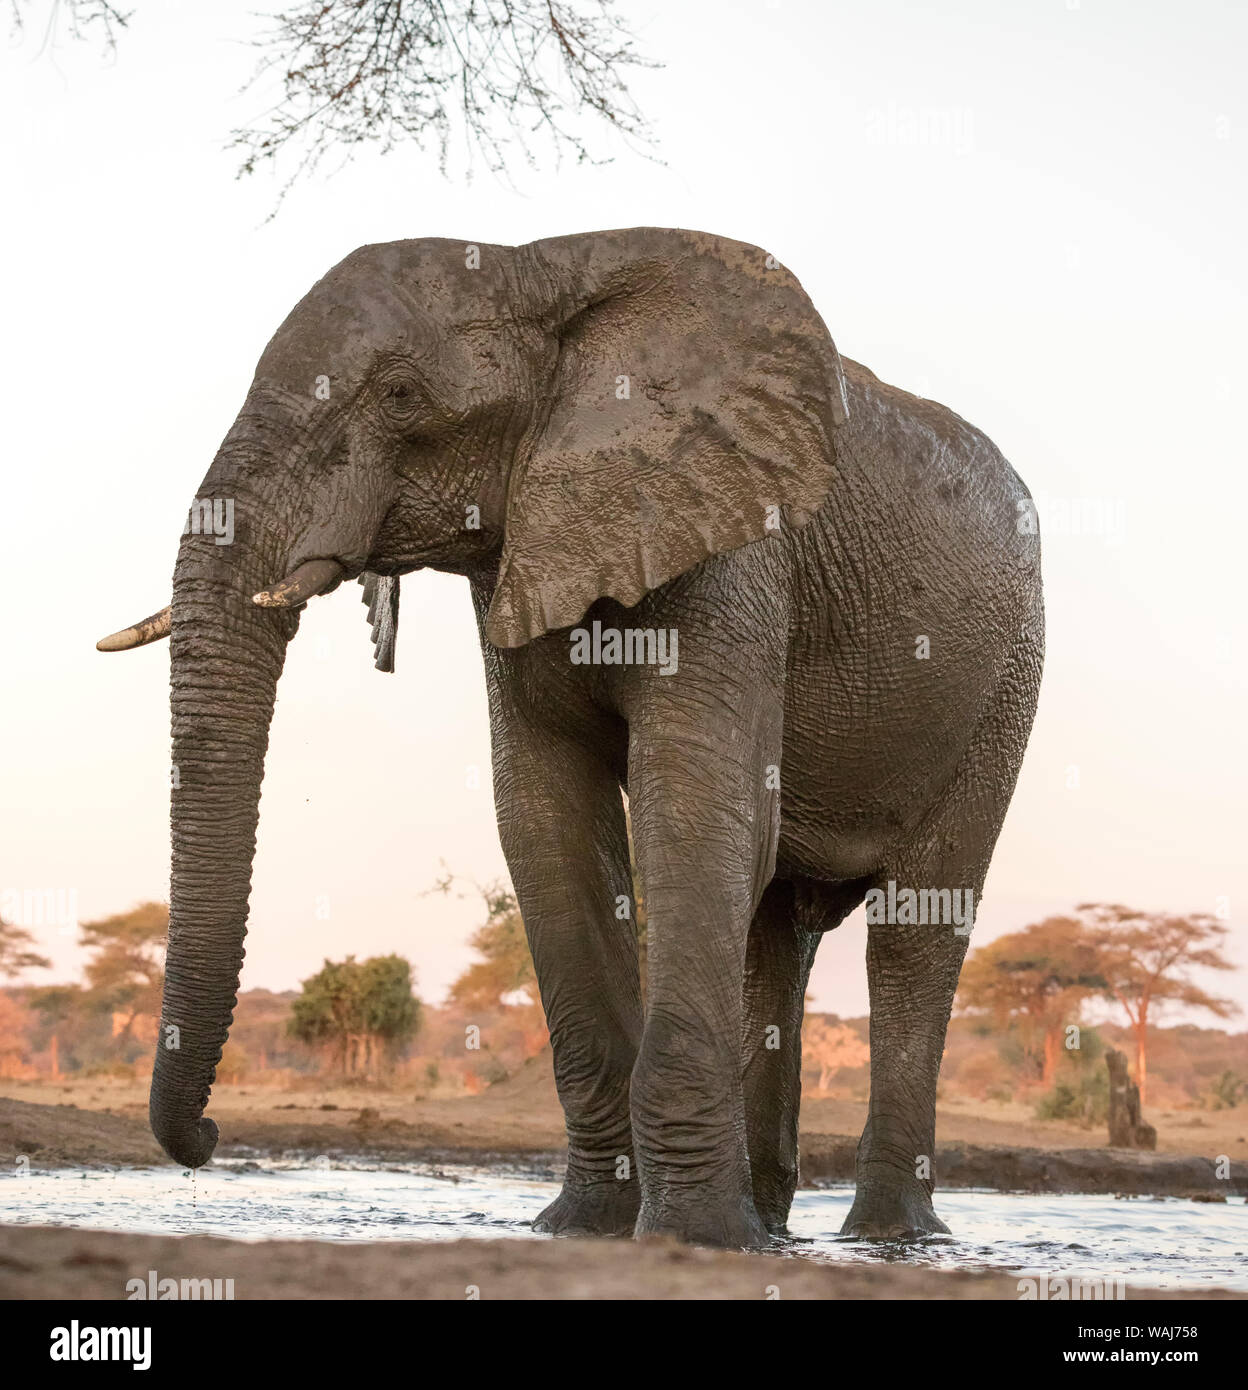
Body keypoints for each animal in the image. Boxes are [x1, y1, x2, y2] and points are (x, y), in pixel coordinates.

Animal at [100, 227, 1039, 1251]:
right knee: (774, 931)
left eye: (399, 397)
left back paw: (886, 1238)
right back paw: (773, 1227)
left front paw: (691, 1239)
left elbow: (690, 812)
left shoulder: (731, 546)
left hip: (1003, 686)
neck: (537, 266)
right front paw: (588, 1227)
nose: (208, 1139)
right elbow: (546, 824)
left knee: (916, 930)